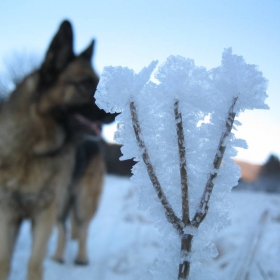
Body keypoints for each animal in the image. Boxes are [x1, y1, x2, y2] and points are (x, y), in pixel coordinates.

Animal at [0, 20, 115, 280]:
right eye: (85, 85)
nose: (116, 110)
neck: (34, 149)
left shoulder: (45, 214)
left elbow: (34, 263)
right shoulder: (7, 214)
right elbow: (4, 262)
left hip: (82, 200)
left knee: (83, 227)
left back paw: (81, 257)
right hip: (62, 203)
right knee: (64, 228)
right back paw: (59, 256)